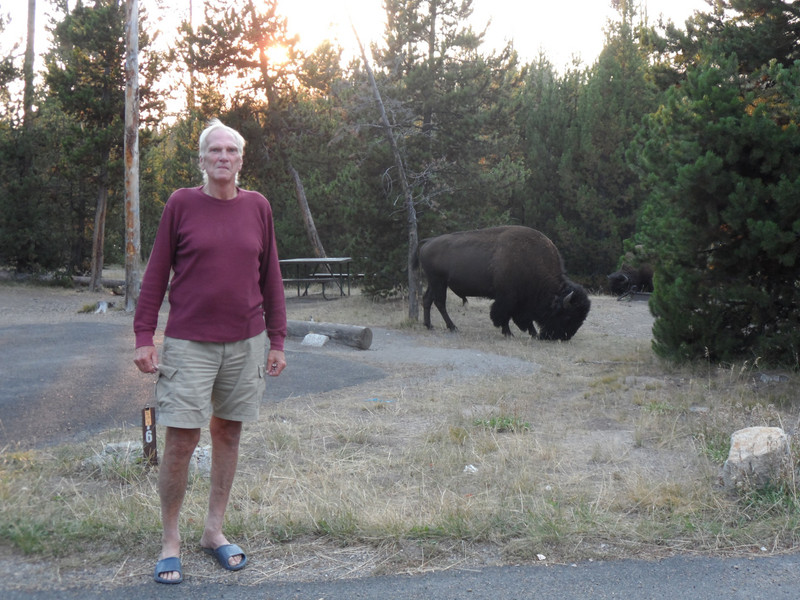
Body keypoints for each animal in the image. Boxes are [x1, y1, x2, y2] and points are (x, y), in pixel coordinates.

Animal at [416, 225, 592, 340]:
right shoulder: (508, 298)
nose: (564, 337)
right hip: (438, 282)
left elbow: (523, 318)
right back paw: (453, 327)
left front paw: (533, 333)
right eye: (568, 317)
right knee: (440, 302)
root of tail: (428, 242)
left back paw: (429, 325)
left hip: (435, 283)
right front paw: (509, 333)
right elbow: (504, 315)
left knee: (427, 300)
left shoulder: (521, 302)